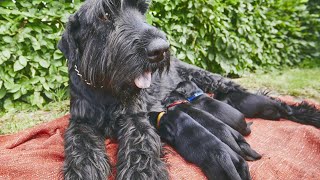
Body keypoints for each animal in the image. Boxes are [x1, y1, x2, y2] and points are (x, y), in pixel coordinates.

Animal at [58, 0, 320, 179]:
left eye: (142, 9)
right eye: (104, 14)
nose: (160, 49)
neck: (106, 90)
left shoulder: (137, 118)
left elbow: (141, 150)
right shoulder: (80, 121)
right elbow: (80, 147)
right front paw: (85, 170)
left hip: (215, 80)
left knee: (278, 103)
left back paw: (309, 114)